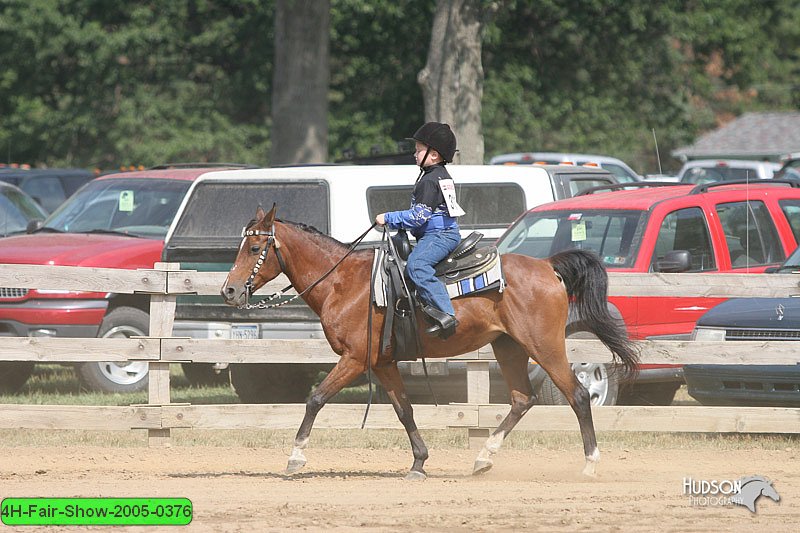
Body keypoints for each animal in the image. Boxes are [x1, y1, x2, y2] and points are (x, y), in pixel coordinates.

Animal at [219, 204, 636, 478]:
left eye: (254, 249)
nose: (229, 290)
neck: (343, 282)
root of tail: (548, 266)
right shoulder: (383, 362)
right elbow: (404, 410)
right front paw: (419, 462)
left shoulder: (355, 359)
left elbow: (315, 399)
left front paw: (295, 458)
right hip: (509, 347)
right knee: (522, 399)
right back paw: (484, 458)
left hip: (545, 346)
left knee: (577, 396)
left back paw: (590, 464)